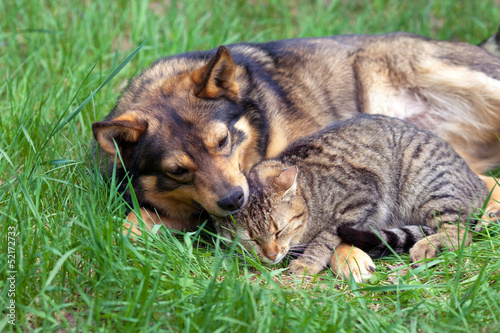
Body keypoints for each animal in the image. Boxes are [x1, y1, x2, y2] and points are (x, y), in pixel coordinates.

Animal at [214, 113, 488, 280]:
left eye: (280, 231)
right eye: (251, 238)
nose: (271, 255)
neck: (310, 194)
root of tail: (478, 184)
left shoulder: (360, 196)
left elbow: (325, 238)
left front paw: (307, 262)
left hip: (429, 186)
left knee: (461, 232)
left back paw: (425, 246)